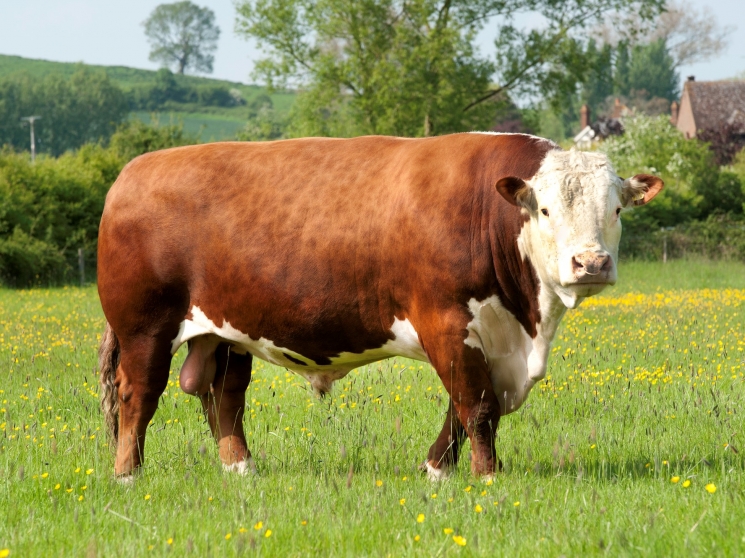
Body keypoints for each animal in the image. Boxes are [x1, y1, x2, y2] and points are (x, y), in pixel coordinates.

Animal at [96, 135, 660, 482]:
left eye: (616, 209)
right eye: (544, 209)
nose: (591, 263)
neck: (527, 324)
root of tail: (133, 172)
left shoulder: (494, 341)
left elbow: (469, 407)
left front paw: (436, 471)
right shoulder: (446, 324)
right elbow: (476, 406)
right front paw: (487, 478)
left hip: (228, 330)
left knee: (223, 396)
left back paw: (241, 470)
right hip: (145, 326)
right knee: (138, 395)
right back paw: (127, 475)